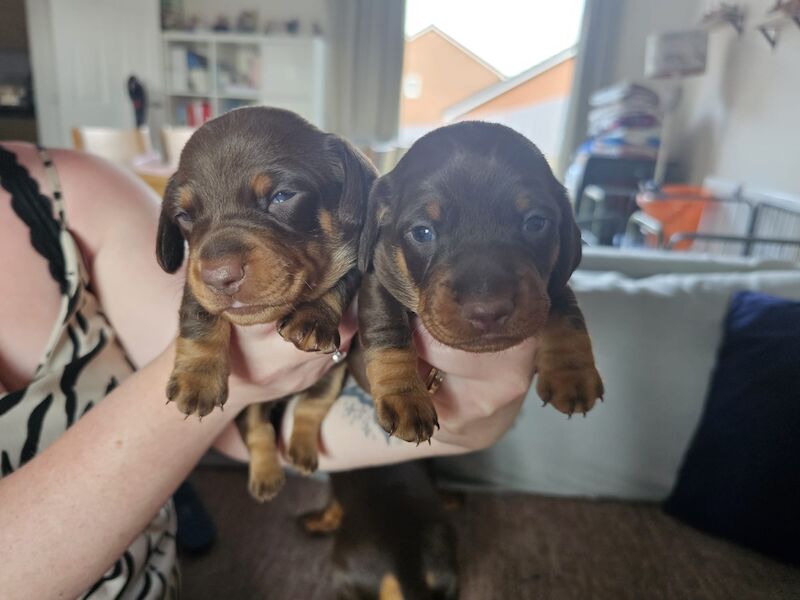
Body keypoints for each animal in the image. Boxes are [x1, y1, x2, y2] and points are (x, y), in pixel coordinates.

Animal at [159, 105, 378, 500]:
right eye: (183, 216)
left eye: (281, 196)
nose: (220, 276)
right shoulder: (194, 278)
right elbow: (199, 314)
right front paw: (197, 378)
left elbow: (313, 403)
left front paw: (313, 318)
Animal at [360, 122, 604, 442]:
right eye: (422, 232)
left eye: (536, 223)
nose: (487, 311)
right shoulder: (378, 274)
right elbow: (387, 327)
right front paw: (404, 396)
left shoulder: (551, 282)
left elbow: (566, 310)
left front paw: (571, 372)